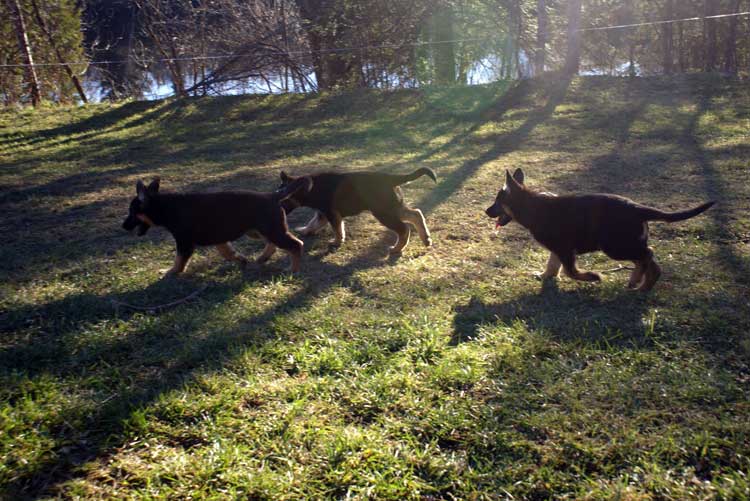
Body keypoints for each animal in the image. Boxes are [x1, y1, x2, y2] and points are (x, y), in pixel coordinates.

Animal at [122, 177, 314, 278]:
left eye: (131, 213)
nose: (123, 226)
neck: (166, 207)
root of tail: (272, 195)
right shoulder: (219, 239)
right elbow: (228, 253)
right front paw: (241, 260)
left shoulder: (184, 243)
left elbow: (179, 260)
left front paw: (170, 272)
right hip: (259, 230)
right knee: (274, 243)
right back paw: (263, 257)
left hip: (270, 229)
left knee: (296, 244)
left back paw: (293, 270)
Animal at [280, 168, 438, 254]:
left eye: (284, 198)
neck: (310, 188)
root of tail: (391, 178)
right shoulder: (323, 214)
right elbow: (312, 223)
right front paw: (305, 230)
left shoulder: (331, 214)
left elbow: (337, 230)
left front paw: (337, 242)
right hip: (392, 207)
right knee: (416, 214)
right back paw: (426, 239)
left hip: (383, 212)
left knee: (404, 228)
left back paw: (397, 248)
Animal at [488, 169, 716, 292]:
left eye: (498, 202)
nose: (486, 211)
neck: (531, 207)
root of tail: (637, 208)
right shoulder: (558, 249)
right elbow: (553, 265)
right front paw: (545, 276)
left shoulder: (564, 249)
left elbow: (570, 271)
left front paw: (592, 277)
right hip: (625, 243)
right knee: (649, 261)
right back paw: (642, 286)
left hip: (615, 246)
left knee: (647, 255)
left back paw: (637, 281)